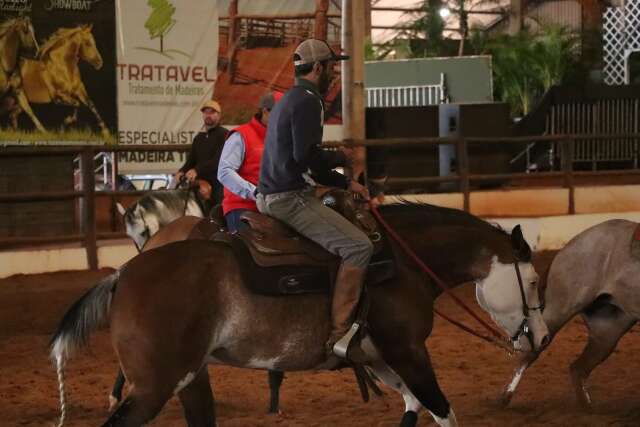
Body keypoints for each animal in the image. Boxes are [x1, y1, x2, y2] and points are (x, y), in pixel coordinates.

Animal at [51, 200, 552, 427]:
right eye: (531, 281)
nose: (544, 337)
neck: (402, 264)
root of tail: (123, 274)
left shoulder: (379, 359)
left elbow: (413, 406)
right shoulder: (408, 351)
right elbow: (441, 410)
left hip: (190, 379)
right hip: (154, 387)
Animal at [502, 221, 640, 408]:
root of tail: (566, 249)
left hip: (608, 331)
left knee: (578, 369)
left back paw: (586, 407)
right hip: (558, 312)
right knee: (530, 353)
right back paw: (506, 396)